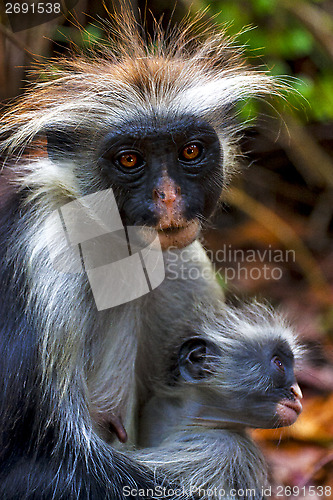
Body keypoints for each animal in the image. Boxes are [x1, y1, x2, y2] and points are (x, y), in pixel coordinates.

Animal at [0, 7, 274, 500]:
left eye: (190, 151)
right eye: (130, 160)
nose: (168, 197)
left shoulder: (183, 264)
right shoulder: (47, 254)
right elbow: (42, 463)